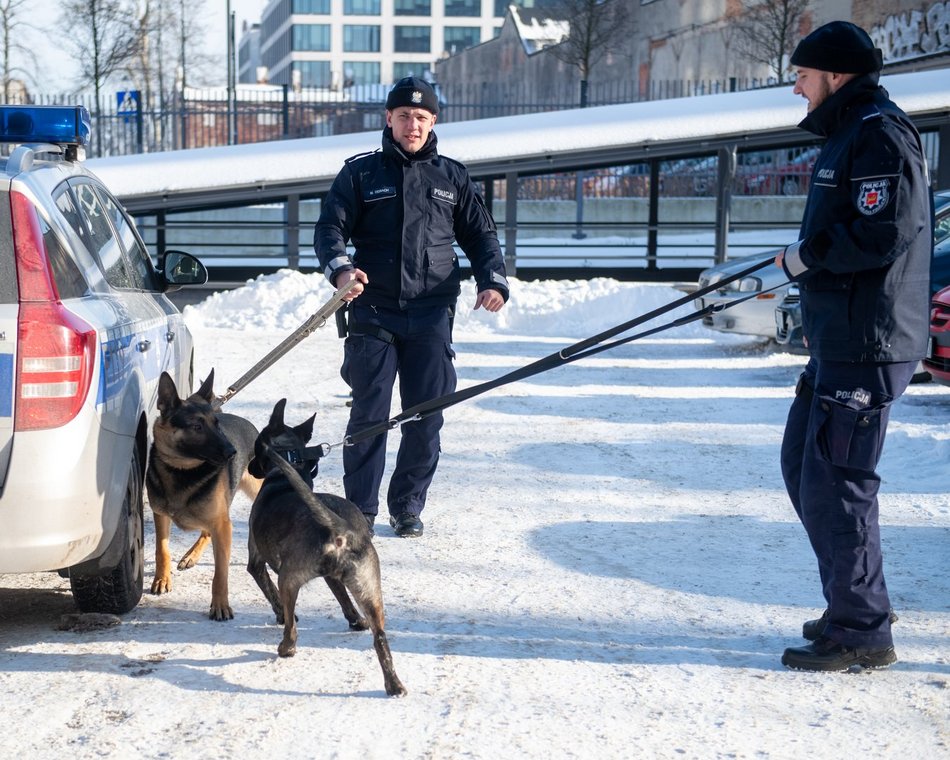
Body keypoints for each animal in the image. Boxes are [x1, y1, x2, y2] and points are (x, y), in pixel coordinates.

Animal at [143, 372, 260, 620]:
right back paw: (190, 556)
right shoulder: (161, 515)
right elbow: (162, 550)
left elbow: (221, 573)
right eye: (196, 426)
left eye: (216, 424)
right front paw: (162, 579)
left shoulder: (222, 525)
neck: (182, 470)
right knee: (205, 531)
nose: (232, 452)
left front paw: (220, 605)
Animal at [245, 400, 406, 696]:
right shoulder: (334, 578)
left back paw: (286, 648)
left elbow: (271, 594)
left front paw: (280, 615)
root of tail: (340, 528)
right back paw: (394, 685)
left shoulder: (257, 563)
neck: (288, 468)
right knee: (380, 639)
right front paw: (356, 622)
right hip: (370, 590)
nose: (250, 467)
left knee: (292, 629)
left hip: (288, 579)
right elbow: (345, 601)